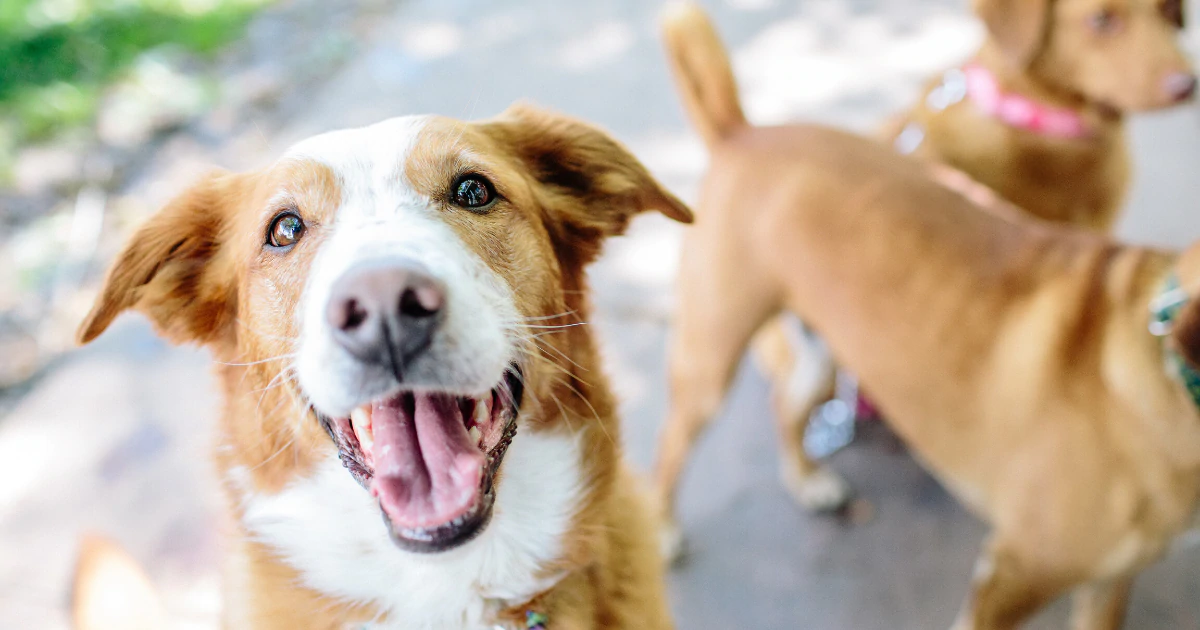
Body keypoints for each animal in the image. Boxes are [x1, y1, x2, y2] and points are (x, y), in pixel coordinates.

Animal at [662, 3, 1200, 624]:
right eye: (1101, 22)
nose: (1186, 83)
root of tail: (743, 132)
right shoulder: (1007, 579)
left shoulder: (1108, 585)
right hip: (710, 358)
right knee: (671, 446)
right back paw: (665, 528)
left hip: (824, 353)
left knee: (787, 404)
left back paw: (807, 481)